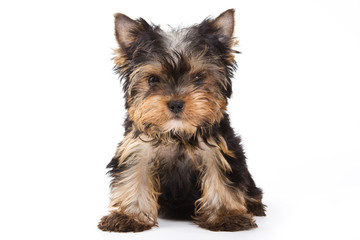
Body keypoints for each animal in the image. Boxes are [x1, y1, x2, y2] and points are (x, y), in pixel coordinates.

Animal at [97, 9, 264, 232]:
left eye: (199, 78)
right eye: (152, 79)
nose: (176, 104)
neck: (177, 133)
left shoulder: (219, 149)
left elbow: (220, 178)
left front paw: (225, 216)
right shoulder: (137, 149)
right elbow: (134, 177)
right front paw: (128, 216)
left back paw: (253, 204)